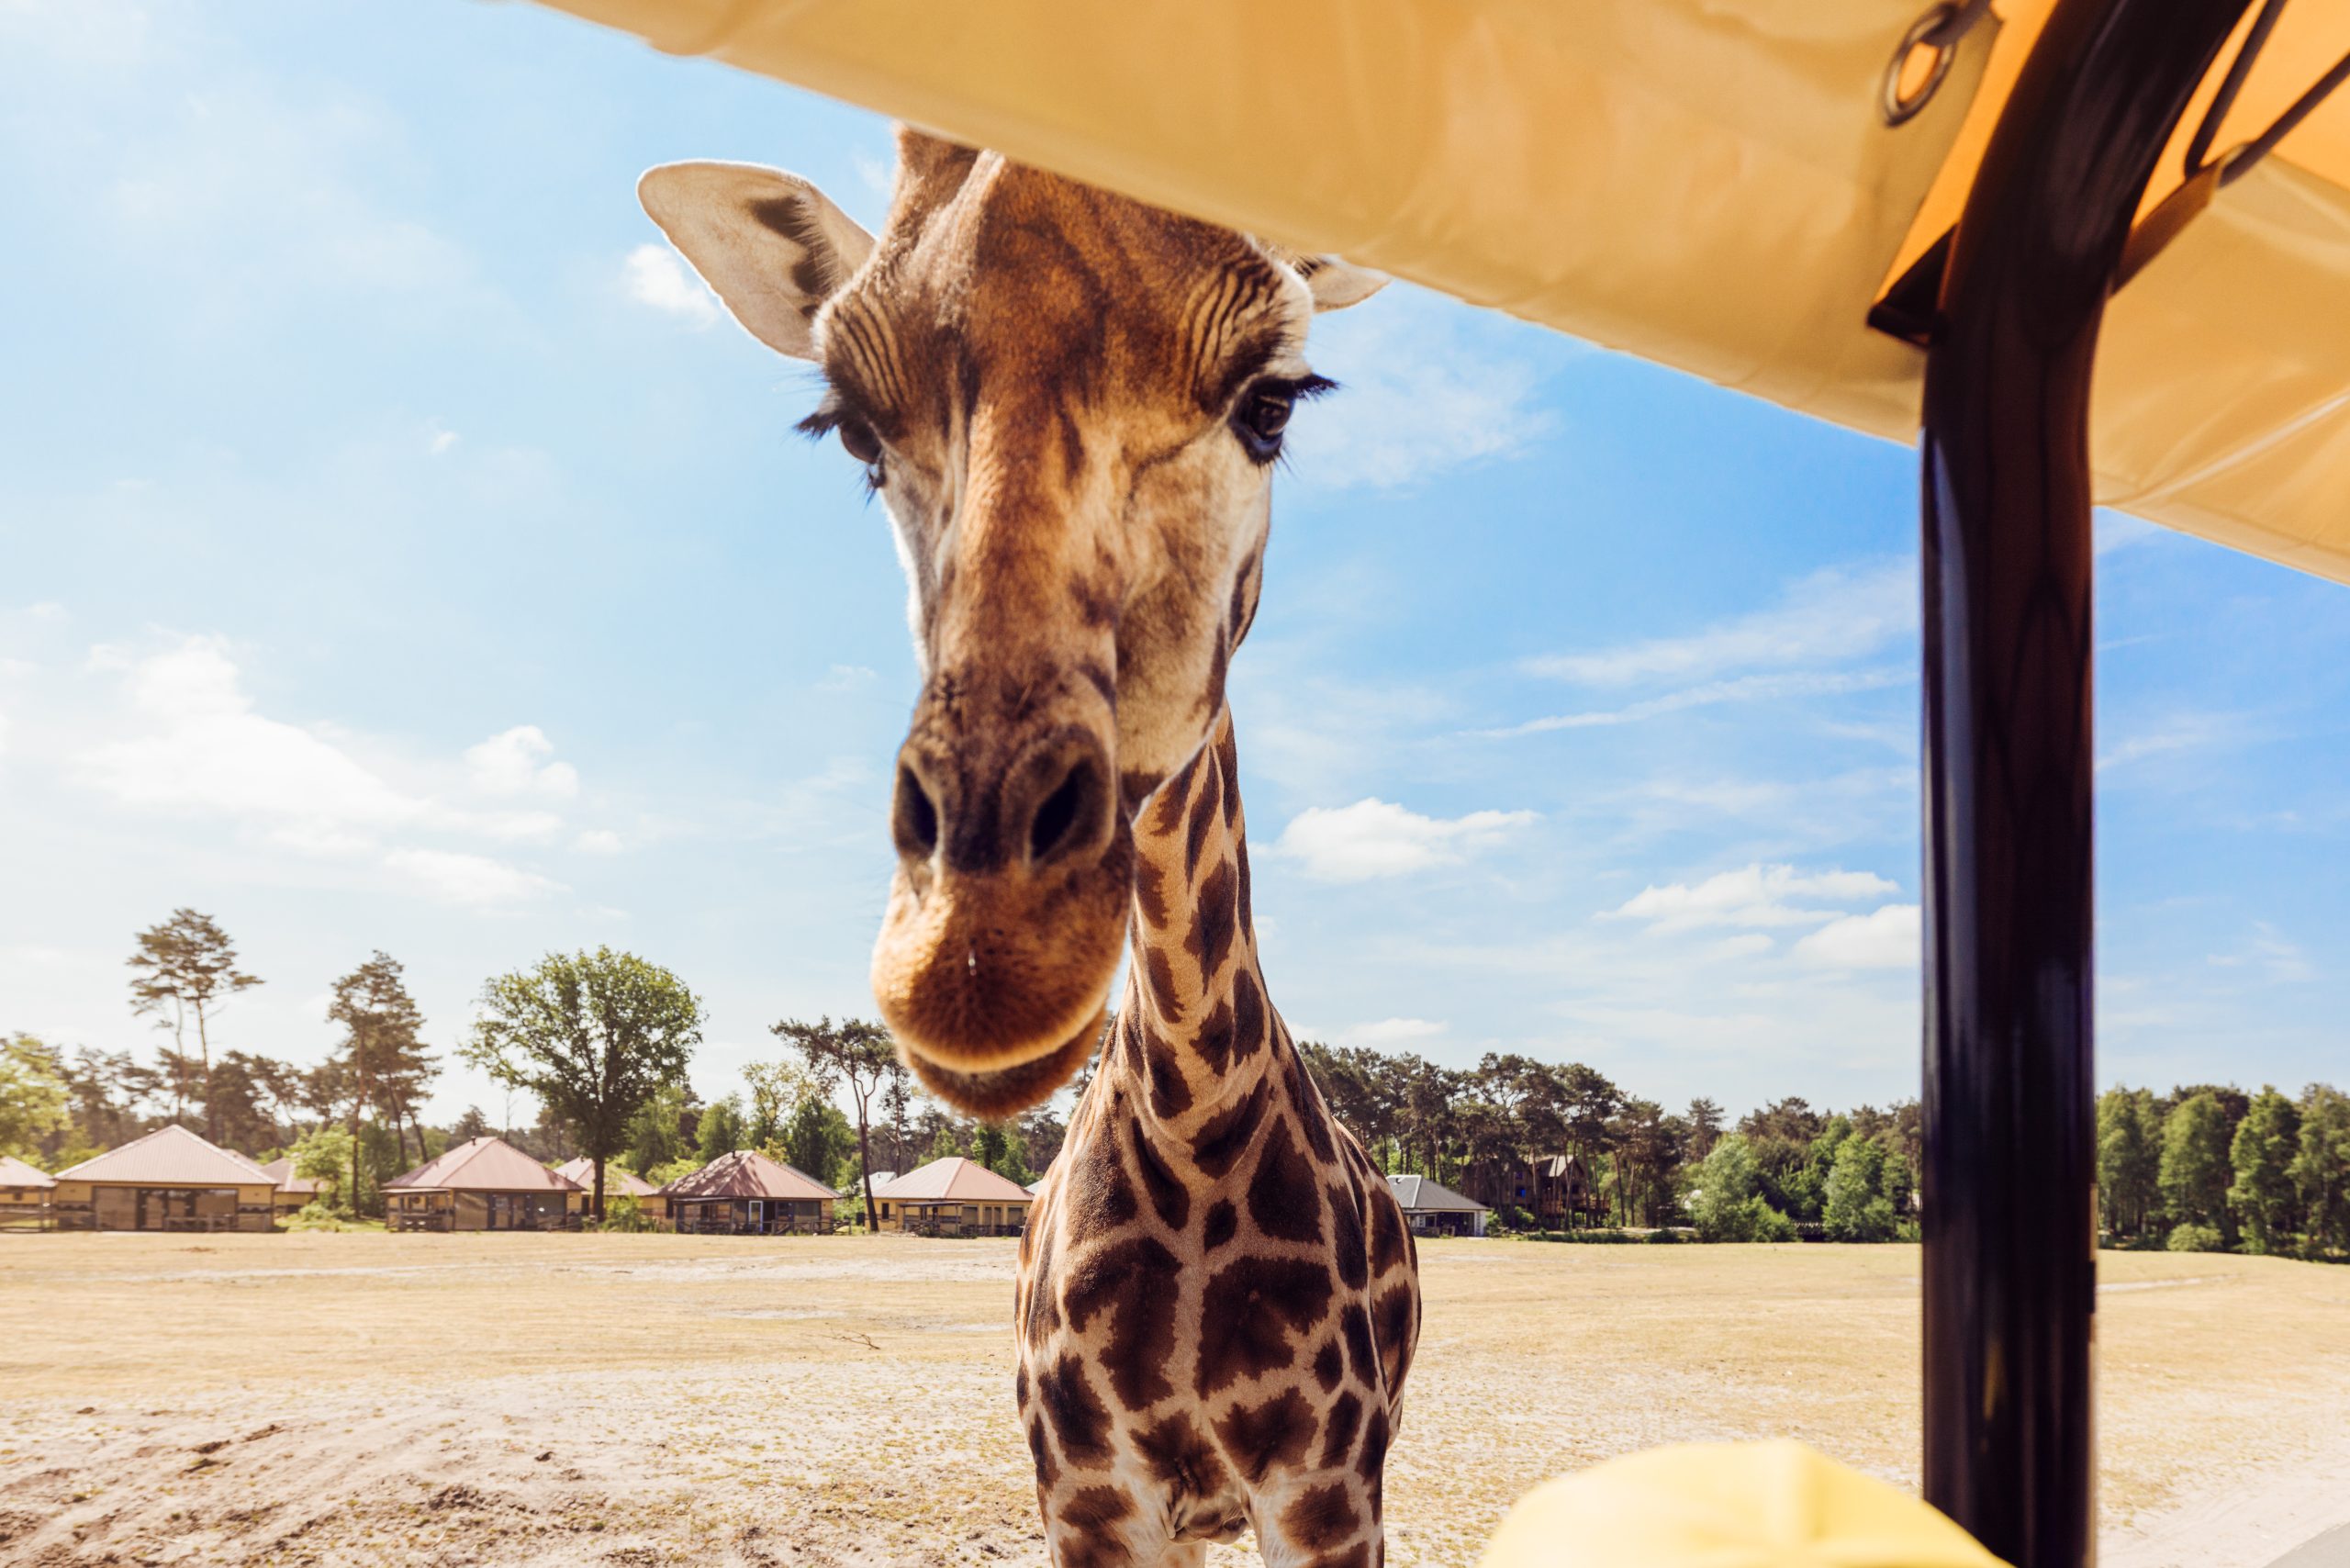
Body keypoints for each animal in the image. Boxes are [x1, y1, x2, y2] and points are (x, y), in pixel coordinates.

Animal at [634, 129, 1419, 1561]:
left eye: (1275, 400)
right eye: (850, 428)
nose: (976, 957)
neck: (1191, 1136)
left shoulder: (1330, 1489)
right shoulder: (1090, 1493)